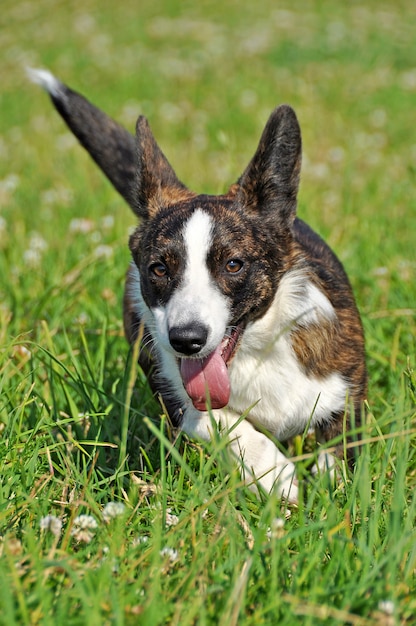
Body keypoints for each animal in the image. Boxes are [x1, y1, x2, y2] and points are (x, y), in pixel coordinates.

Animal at [30, 68, 368, 500]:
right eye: (159, 269)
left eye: (233, 264)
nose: (186, 340)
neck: (256, 350)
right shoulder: (177, 394)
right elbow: (222, 424)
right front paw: (276, 476)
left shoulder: (345, 389)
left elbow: (337, 451)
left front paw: (333, 493)